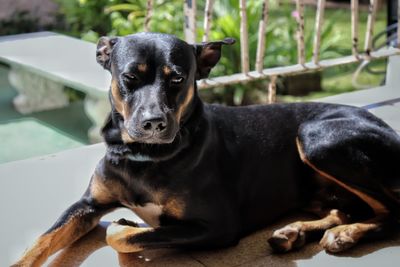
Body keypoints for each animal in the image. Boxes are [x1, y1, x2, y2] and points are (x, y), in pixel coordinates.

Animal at [14, 32, 398, 266]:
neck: (145, 156)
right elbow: (42, 241)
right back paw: (295, 232)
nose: (154, 123)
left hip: (316, 136)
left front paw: (127, 224)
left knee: (390, 210)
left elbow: (121, 235)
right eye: (130, 77)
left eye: (177, 78)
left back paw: (344, 234)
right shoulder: (88, 204)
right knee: (346, 208)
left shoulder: (218, 225)